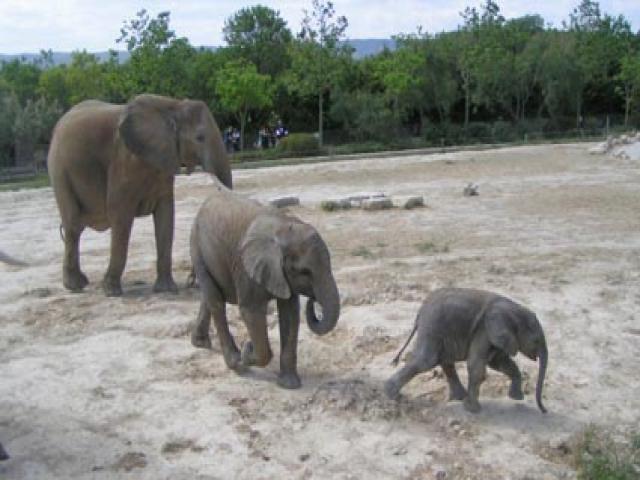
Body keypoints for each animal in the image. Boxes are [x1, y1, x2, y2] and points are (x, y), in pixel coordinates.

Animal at [47, 94, 232, 296]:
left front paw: (166, 290)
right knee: (73, 226)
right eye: (200, 138)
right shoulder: (123, 161)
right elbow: (120, 215)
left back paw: (82, 283)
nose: (193, 281)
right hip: (59, 171)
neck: (173, 106)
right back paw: (76, 286)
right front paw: (112, 292)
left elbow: (166, 216)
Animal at [382, 288, 548, 412]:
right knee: (426, 361)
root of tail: (420, 311)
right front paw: (473, 410)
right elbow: (477, 366)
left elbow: (500, 363)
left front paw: (516, 398)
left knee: (444, 361)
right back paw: (391, 395)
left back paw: (459, 398)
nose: (544, 410)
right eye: (536, 340)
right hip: (432, 328)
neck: (515, 309)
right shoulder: (484, 330)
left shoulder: (493, 334)